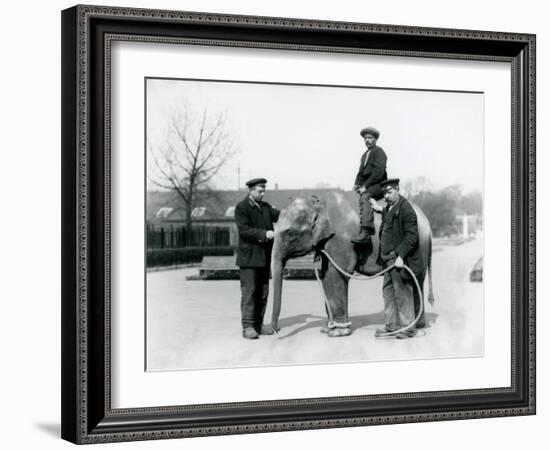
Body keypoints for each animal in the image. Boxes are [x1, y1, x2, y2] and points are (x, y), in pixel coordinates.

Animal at [272, 191, 436, 338]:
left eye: (289, 234)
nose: (277, 330)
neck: (318, 200)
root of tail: (428, 225)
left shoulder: (340, 240)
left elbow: (334, 275)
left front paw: (338, 333)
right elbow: (325, 275)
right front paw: (327, 329)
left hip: (418, 246)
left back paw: (407, 330)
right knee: (415, 281)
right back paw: (413, 326)